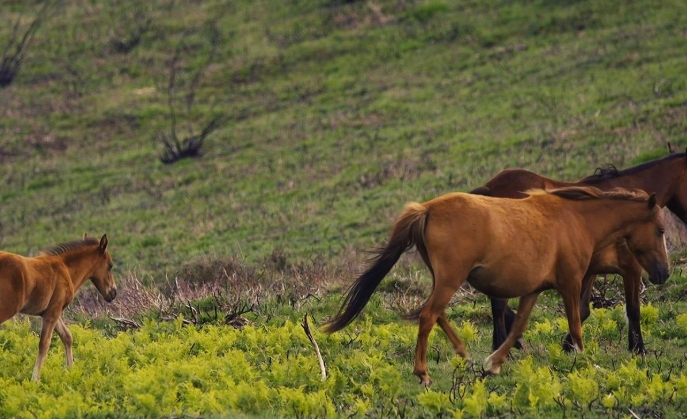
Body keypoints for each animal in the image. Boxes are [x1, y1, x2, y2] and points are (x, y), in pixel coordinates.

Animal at [0, 235, 116, 382]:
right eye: (110, 266)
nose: (113, 293)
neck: (66, 269)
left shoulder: (51, 311)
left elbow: (67, 336)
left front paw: (71, 369)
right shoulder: (53, 312)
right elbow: (44, 344)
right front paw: (35, 379)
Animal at [326, 189, 668, 386]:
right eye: (661, 230)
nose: (663, 273)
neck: (577, 220)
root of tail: (427, 208)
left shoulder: (533, 290)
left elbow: (517, 328)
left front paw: (493, 365)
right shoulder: (570, 283)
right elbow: (575, 326)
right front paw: (585, 362)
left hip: (443, 278)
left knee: (435, 314)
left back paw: (464, 355)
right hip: (450, 279)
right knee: (428, 316)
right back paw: (422, 373)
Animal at [472, 149, 687, 356]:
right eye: (661, 230)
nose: (663, 273)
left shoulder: (590, 270)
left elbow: (582, 310)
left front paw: (568, 345)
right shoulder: (631, 268)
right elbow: (633, 309)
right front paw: (638, 349)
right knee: (499, 303)